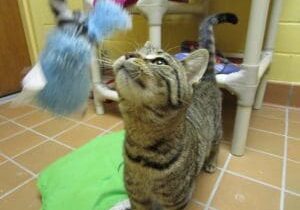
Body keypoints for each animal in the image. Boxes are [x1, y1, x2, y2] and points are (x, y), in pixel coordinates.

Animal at [113, 13, 238, 210]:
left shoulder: (175, 201)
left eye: (159, 61)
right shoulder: (137, 198)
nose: (129, 54)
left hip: (217, 128)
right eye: (135, 51)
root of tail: (207, 77)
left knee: (216, 145)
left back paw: (211, 162)